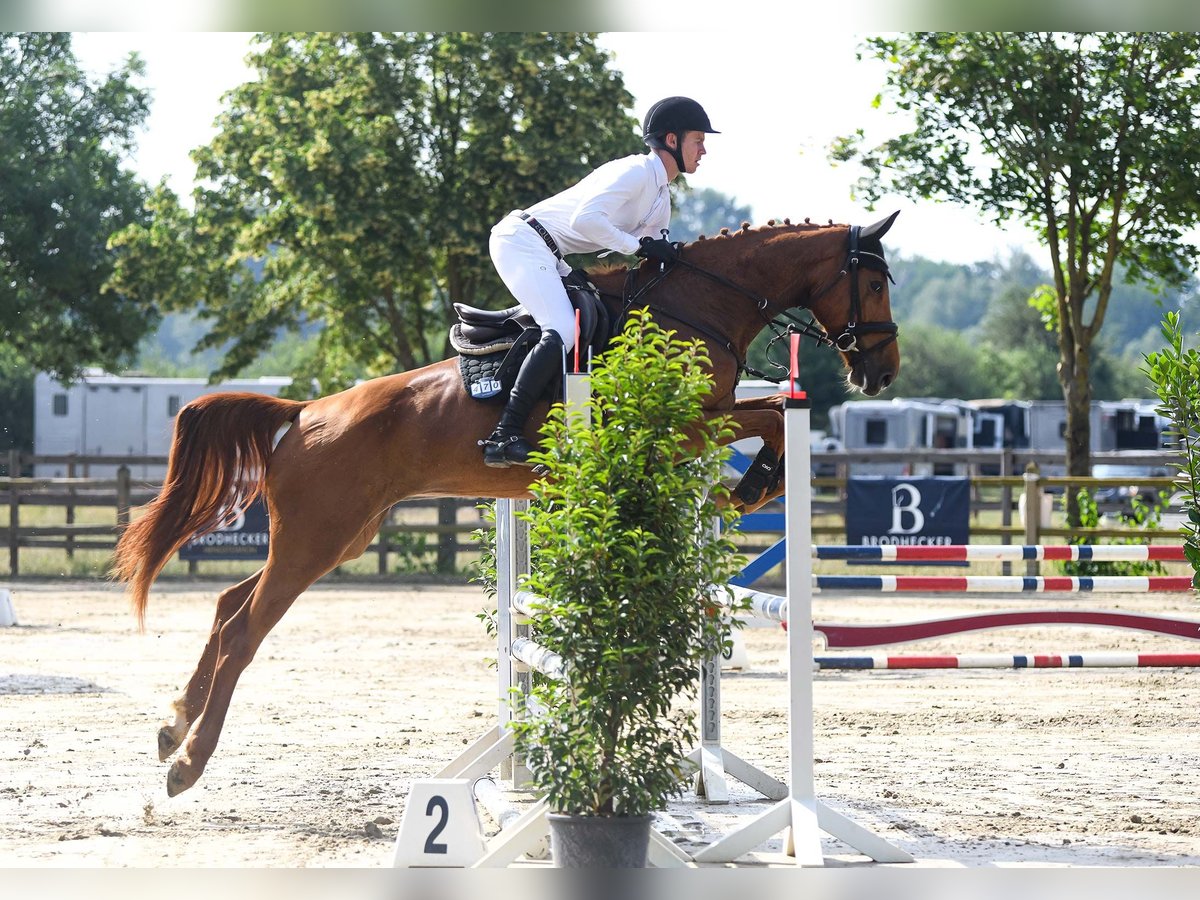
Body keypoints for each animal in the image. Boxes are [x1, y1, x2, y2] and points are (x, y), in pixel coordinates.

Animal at [112, 210, 902, 796]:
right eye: (874, 284)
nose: (882, 371)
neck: (701, 304)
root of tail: (305, 413)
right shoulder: (681, 423)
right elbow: (769, 417)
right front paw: (755, 481)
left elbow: (767, 416)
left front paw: (751, 484)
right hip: (318, 538)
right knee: (245, 629)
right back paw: (188, 764)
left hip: (339, 535)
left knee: (228, 607)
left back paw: (173, 726)